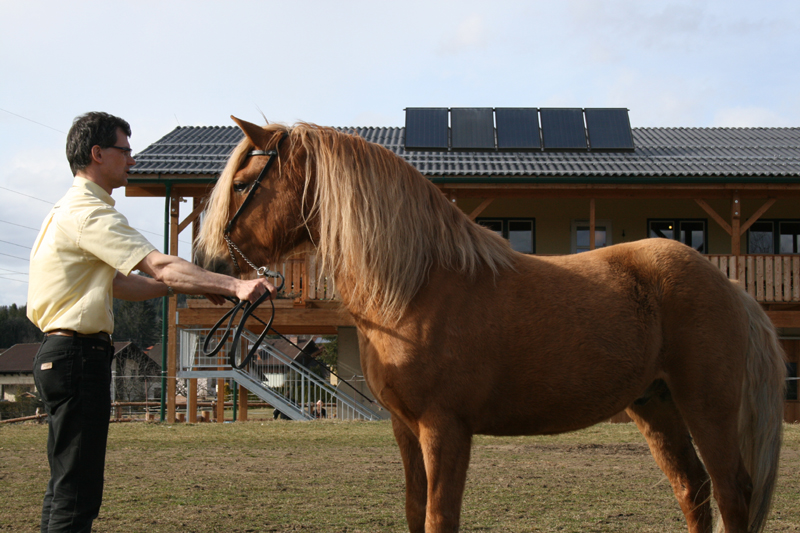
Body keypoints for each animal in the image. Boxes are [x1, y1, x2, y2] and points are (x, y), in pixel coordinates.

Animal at [196, 117, 786, 533]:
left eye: (245, 183)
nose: (210, 263)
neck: (416, 286)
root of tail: (730, 286)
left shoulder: (445, 428)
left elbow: (440, 518)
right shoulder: (405, 429)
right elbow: (415, 513)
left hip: (706, 406)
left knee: (731, 493)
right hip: (656, 405)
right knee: (694, 490)